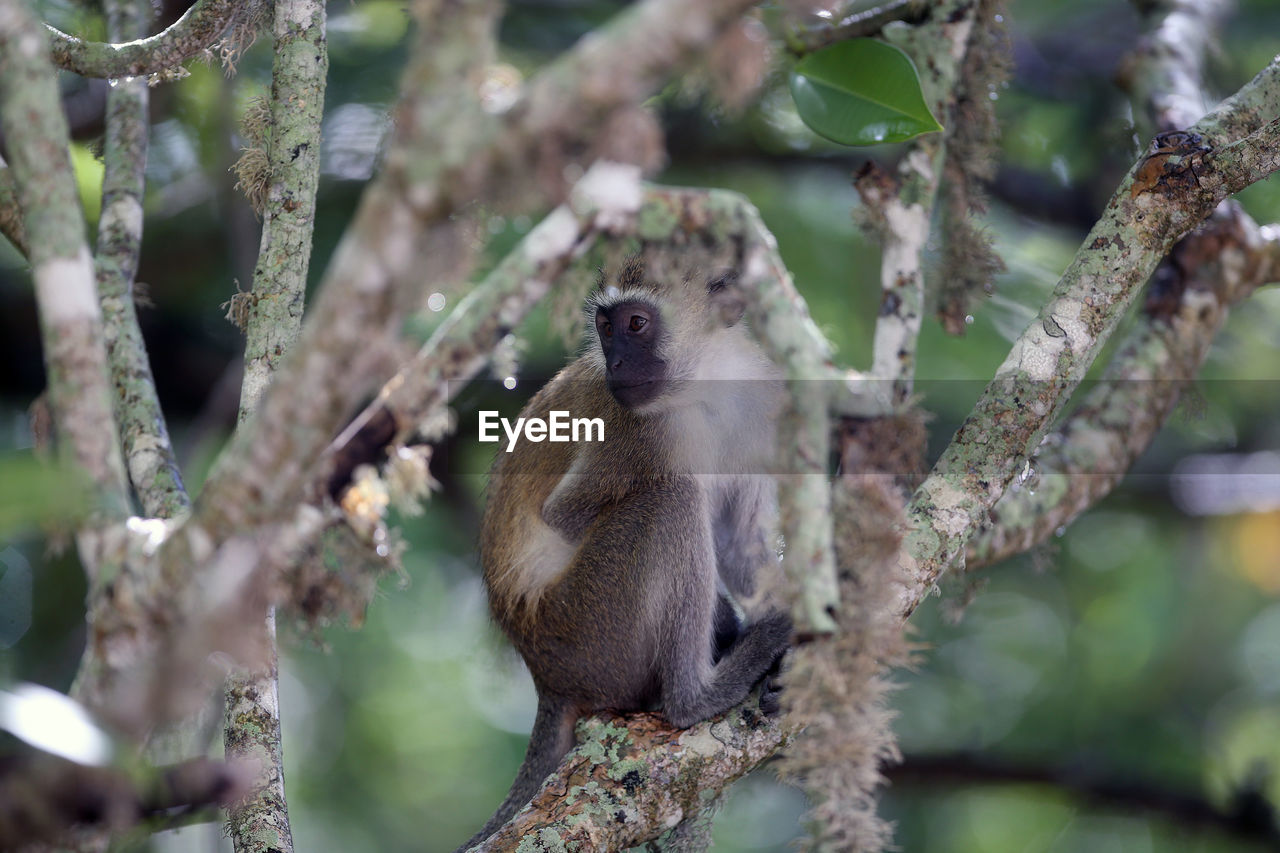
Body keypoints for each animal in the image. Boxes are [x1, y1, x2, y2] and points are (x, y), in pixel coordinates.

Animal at [460, 256, 788, 845]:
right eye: (605, 326)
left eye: (636, 324)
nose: (614, 362)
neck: (703, 388)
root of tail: (548, 679)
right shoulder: (634, 434)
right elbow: (564, 516)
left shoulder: (759, 407)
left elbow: (739, 540)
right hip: (589, 628)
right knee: (669, 496)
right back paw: (695, 697)